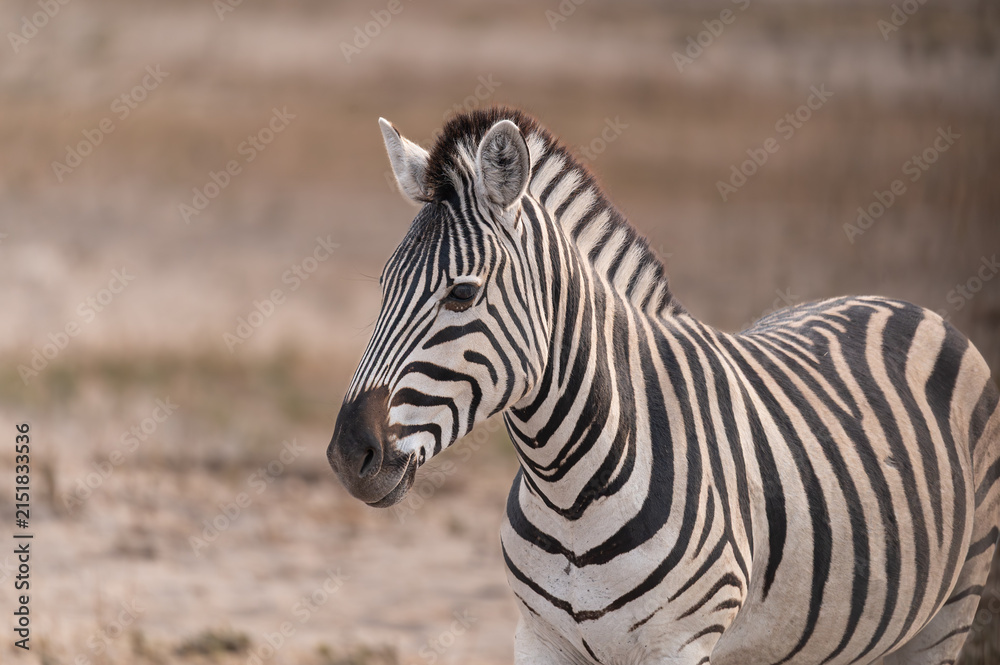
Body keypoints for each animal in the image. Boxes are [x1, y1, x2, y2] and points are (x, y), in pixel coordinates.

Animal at [326, 106, 1000, 665]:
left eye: (462, 293)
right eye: (383, 286)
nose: (348, 454)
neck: (569, 492)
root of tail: (899, 302)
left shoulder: (681, 643)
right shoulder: (539, 639)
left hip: (952, 605)